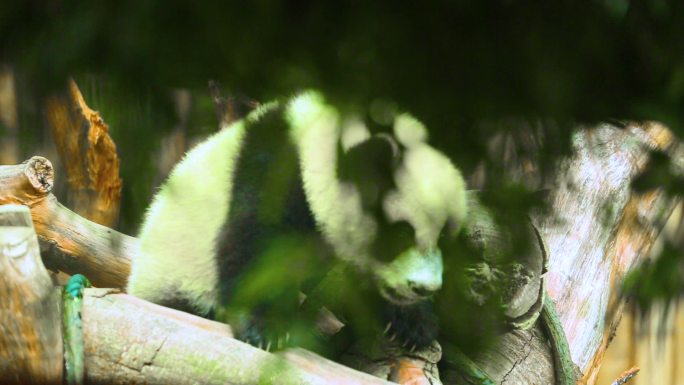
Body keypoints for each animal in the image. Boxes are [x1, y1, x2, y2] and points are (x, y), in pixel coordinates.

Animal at [127, 91, 470, 356]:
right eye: (401, 235)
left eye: (445, 238)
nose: (423, 288)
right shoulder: (274, 174)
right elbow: (252, 243)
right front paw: (265, 329)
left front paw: (414, 324)